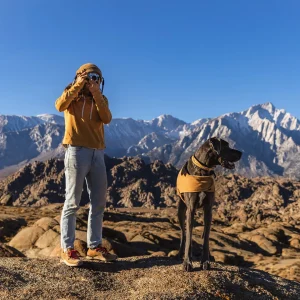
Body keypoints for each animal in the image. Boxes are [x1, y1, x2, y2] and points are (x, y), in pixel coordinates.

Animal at [177, 137, 243, 270]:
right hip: (180, 210)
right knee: (183, 233)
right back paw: (180, 253)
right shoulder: (190, 209)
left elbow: (206, 237)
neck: (203, 171)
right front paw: (187, 262)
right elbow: (189, 238)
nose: (241, 153)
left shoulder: (208, 209)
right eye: (226, 146)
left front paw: (205, 261)